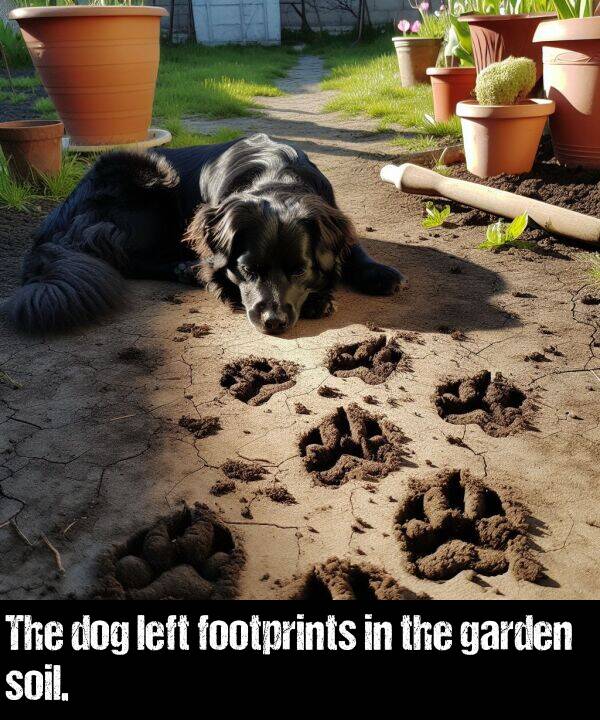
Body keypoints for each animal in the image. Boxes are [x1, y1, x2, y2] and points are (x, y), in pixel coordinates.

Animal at [4, 133, 406, 334]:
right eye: (247, 270)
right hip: (151, 178)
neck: (277, 176)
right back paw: (186, 269)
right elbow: (217, 271)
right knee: (123, 255)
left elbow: (351, 247)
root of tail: (52, 222)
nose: (273, 322)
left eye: (299, 270)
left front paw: (376, 273)